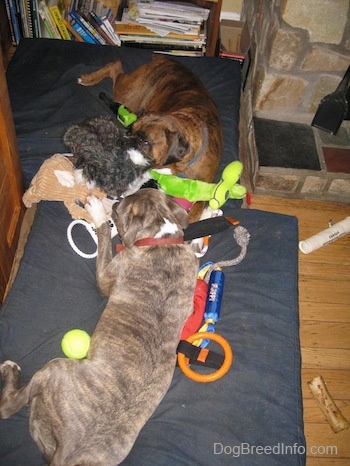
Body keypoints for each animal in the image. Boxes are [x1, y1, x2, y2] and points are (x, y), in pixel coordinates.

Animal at [78, 54, 223, 222]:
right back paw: (88, 78)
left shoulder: (206, 185)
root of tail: (163, 58)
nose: (123, 142)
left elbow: (196, 210)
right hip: (129, 95)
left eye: (144, 141)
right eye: (129, 130)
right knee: (115, 65)